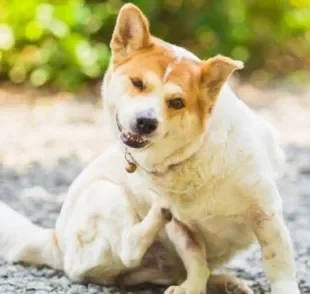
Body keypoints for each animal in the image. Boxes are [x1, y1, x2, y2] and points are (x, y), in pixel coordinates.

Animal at [0, 2, 300, 294]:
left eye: (177, 102)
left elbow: (278, 261)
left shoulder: (266, 214)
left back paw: (224, 282)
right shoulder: (182, 228)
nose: (145, 122)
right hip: (105, 193)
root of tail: (55, 241)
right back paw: (160, 216)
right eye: (137, 83)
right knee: (129, 250)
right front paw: (192, 288)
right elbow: (195, 259)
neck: (193, 156)